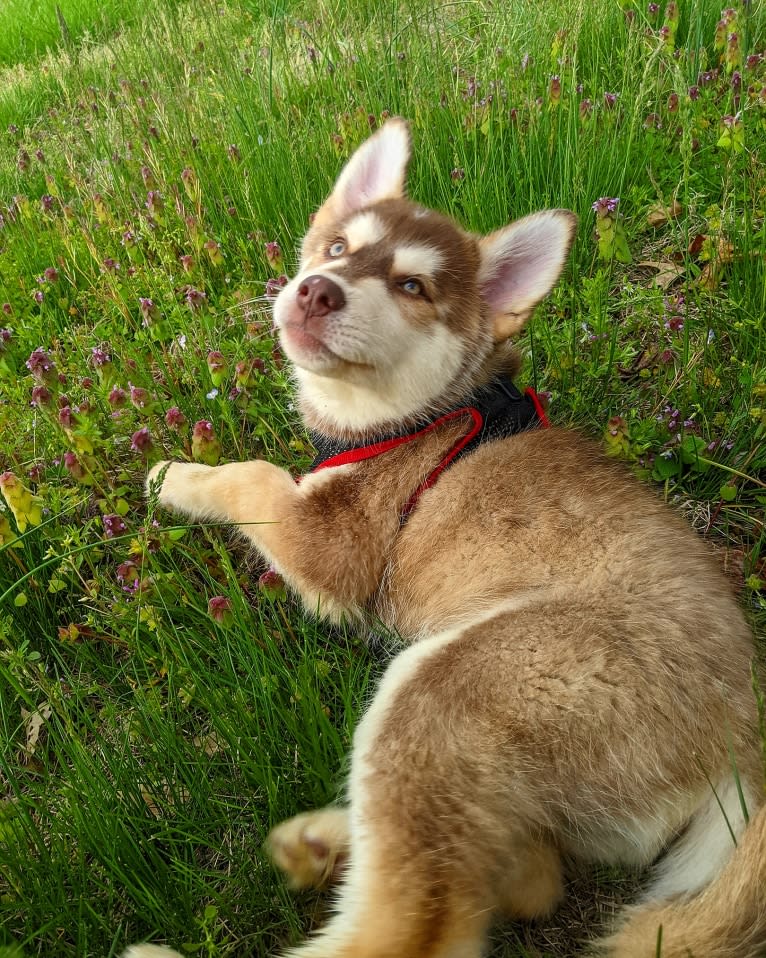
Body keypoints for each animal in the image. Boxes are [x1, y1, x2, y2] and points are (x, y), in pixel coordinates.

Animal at [129, 122, 764, 958]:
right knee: (517, 876)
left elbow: (254, 477)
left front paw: (173, 475)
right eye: (337, 248)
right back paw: (328, 842)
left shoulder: (333, 542)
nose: (316, 290)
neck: (422, 416)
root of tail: (746, 744)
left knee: (419, 921)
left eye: (412, 288)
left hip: (447, 689)